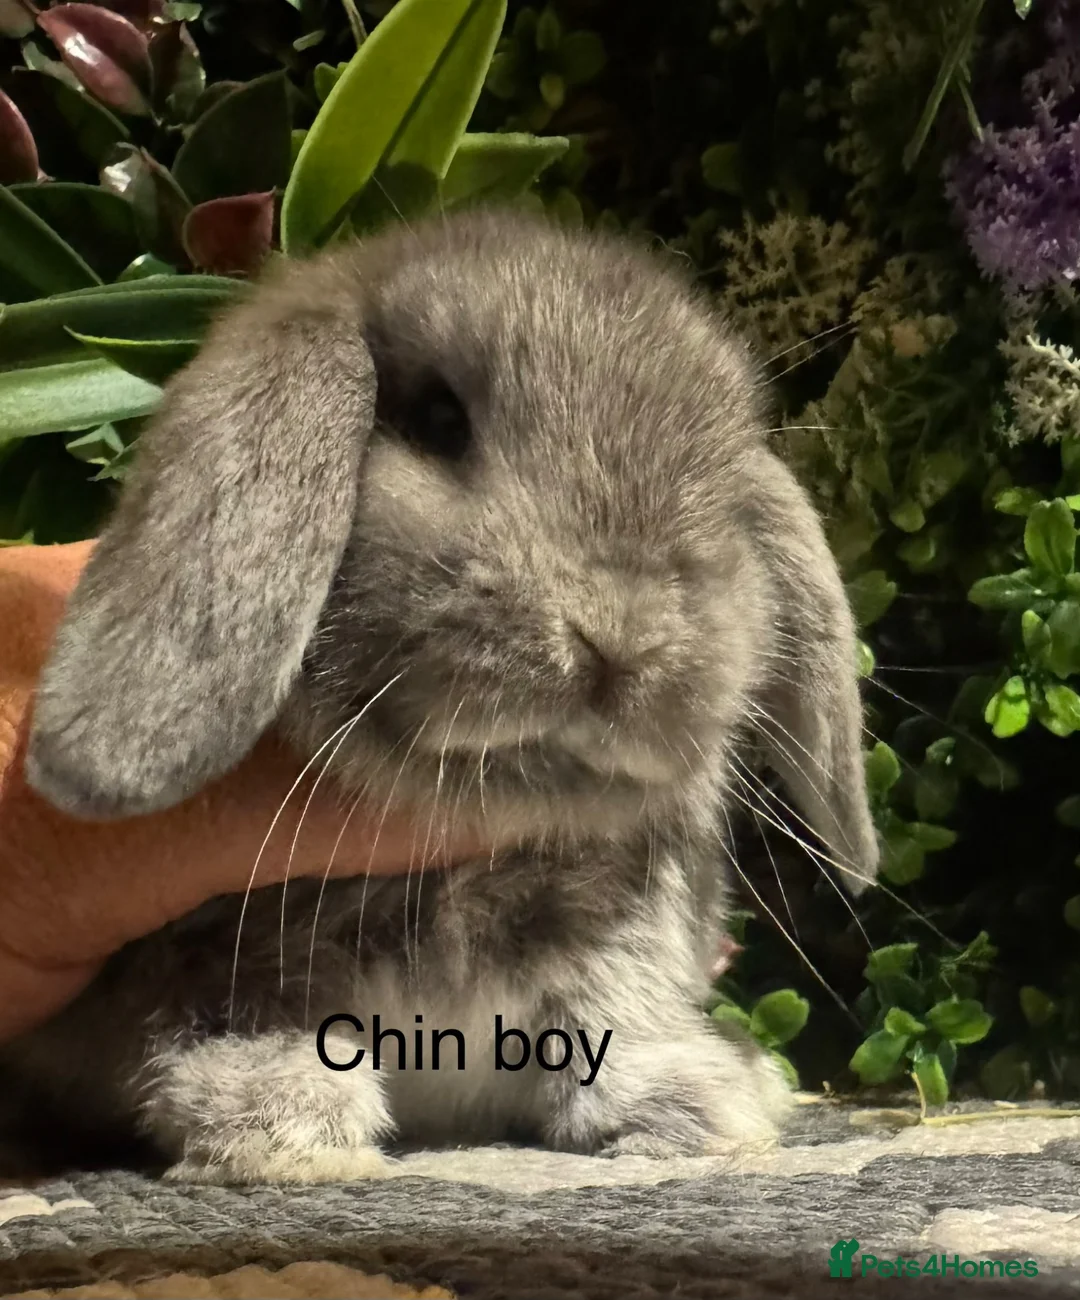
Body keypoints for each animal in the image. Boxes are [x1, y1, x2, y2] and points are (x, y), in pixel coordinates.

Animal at [2, 208, 879, 1186]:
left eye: (722, 489)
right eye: (437, 419)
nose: (621, 636)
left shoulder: (619, 929)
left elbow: (609, 1004)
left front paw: (699, 1105)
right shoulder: (200, 949)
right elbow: (225, 1011)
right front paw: (281, 1125)